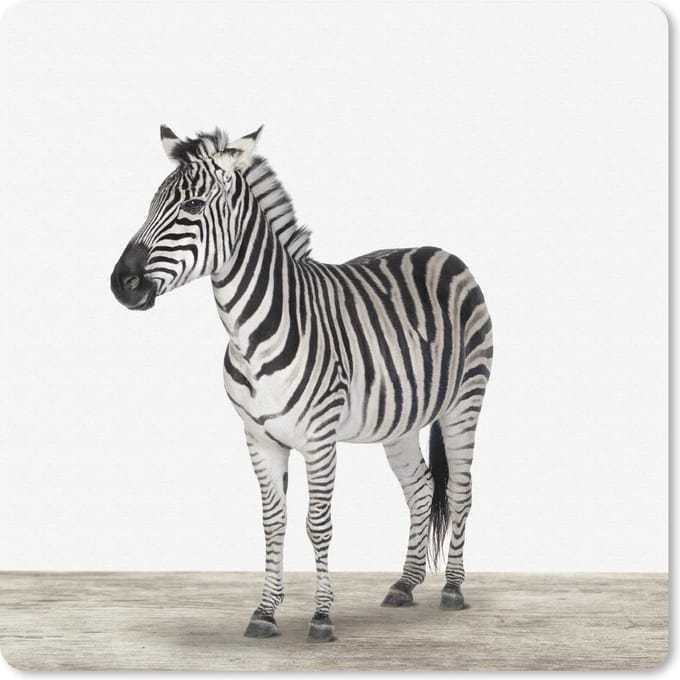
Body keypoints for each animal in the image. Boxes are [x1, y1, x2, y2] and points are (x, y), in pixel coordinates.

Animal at [111, 125, 493, 642]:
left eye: (191, 206)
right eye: (151, 204)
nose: (121, 283)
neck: (249, 333)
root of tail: (443, 251)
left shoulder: (319, 437)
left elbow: (318, 524)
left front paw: (322, 617)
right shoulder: (258, 438)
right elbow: (273, 523)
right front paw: (265, 612)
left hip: (464, 403)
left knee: (459, 492)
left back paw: (452, 588)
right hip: (400, 420)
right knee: (419, 488)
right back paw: (405, 583)